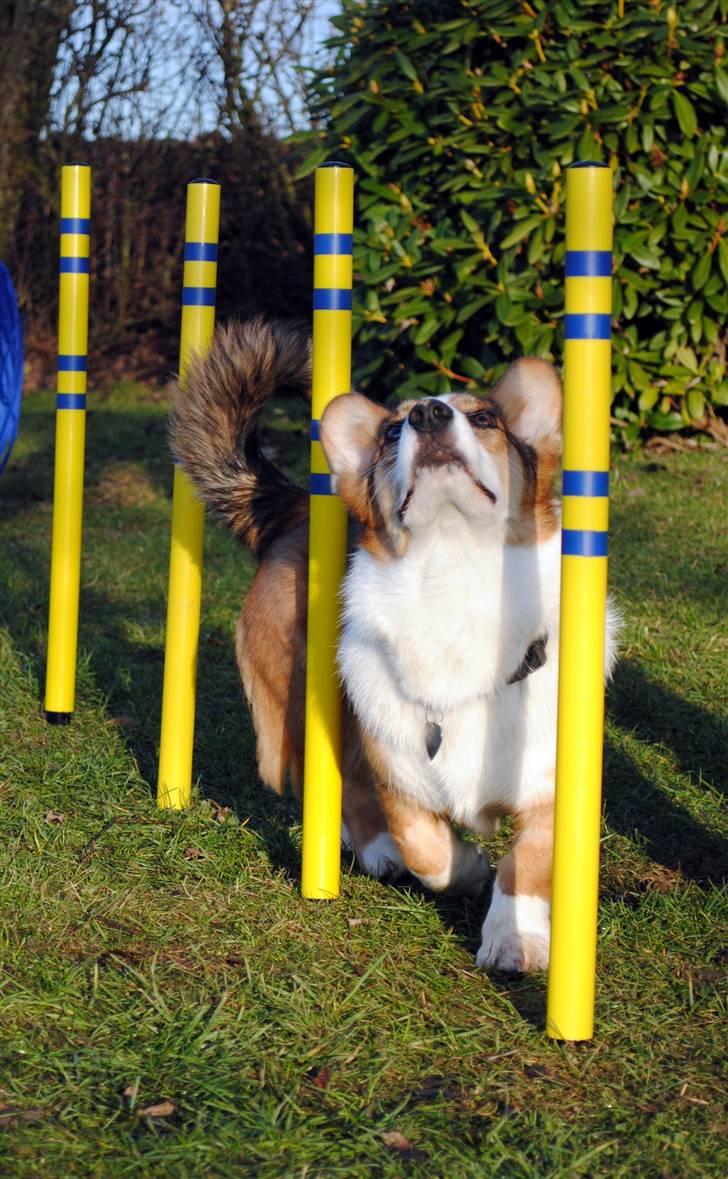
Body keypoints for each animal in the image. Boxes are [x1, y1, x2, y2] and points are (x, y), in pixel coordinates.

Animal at [172, 318, 618, 971]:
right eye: (390, 431)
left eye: (485, 418)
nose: (429, 415)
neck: (453, 577)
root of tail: (293, 510)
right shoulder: (398, 771)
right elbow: (426, 848)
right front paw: (464, 867)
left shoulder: (551, 789)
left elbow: (527, 867)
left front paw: (513, 939)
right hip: (307, 702)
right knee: (337, 779)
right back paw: (376, 849)